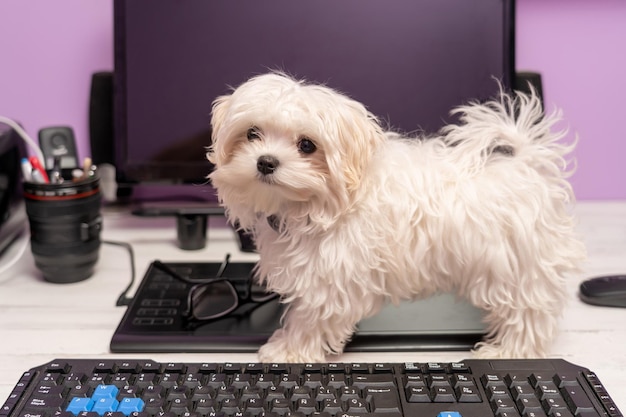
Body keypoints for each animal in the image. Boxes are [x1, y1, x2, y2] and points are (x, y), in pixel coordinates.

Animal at [207, 73, 584, 362]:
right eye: (252, 133)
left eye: (307, 145)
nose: (266, 161)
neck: (320, 205)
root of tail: (526, 164)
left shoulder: (329, 280)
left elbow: (309, 320)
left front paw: (289, 351)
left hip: (518, 270)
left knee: (528, 316)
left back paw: (507, 352)